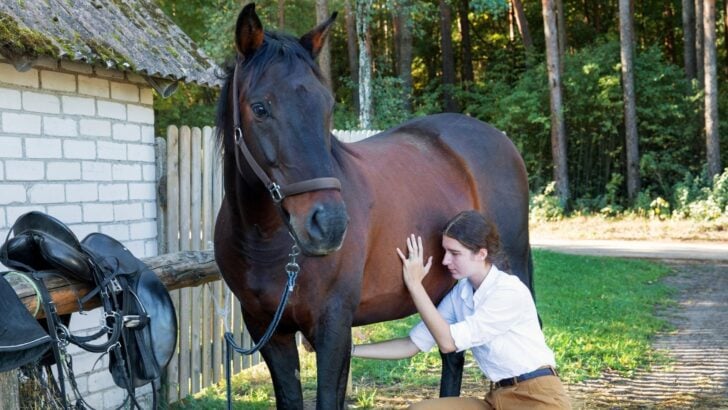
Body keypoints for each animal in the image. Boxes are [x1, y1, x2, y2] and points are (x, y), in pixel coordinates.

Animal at [214, 4, 533, 409]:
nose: (329, 224)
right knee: (452, 354)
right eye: (259, 108)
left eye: (327, 105)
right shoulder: (269, 333)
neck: (267, 243)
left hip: (511, 269)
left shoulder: (333, 328)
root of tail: (499, 140)